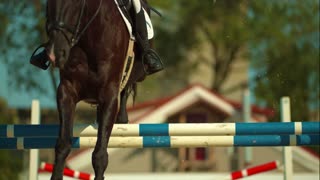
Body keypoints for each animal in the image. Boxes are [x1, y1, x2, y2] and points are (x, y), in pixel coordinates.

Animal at [45, 0, 148, 179]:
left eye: (76, 3)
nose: (55, 53)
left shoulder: (109, 96)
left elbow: (100, 155)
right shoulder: (66, 91)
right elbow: (63, 146)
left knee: (127, 87)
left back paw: (122, 118)